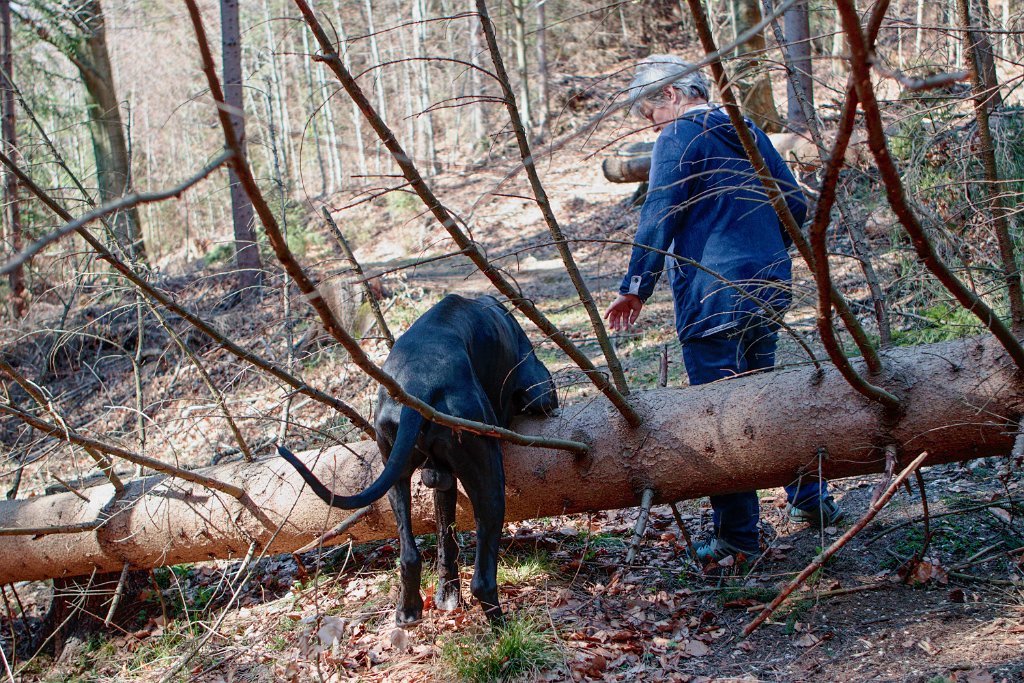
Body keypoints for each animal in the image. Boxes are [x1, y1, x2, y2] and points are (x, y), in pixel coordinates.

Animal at [276, 294, 557, 626]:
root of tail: (417, 387)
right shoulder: (538, 386)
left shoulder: (444, 482)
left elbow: (445, 539)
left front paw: (446, 595)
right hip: (489, 478)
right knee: (482, 578)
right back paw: (503, 626)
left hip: (394, 472)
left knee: (409, 554)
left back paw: (409, 610)